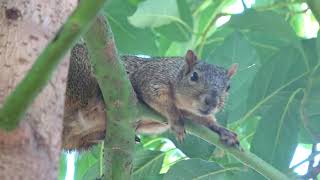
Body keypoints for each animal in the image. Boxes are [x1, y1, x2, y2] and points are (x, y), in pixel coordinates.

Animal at [62, 43, 239, 150]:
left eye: (228, 87)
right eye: (194, 76)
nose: (212, 102)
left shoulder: (193, 113)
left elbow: (205, 121)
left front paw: (223, 131)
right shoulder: (149, 78)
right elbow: (160, 99)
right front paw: (175, 119)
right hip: (81, 73)